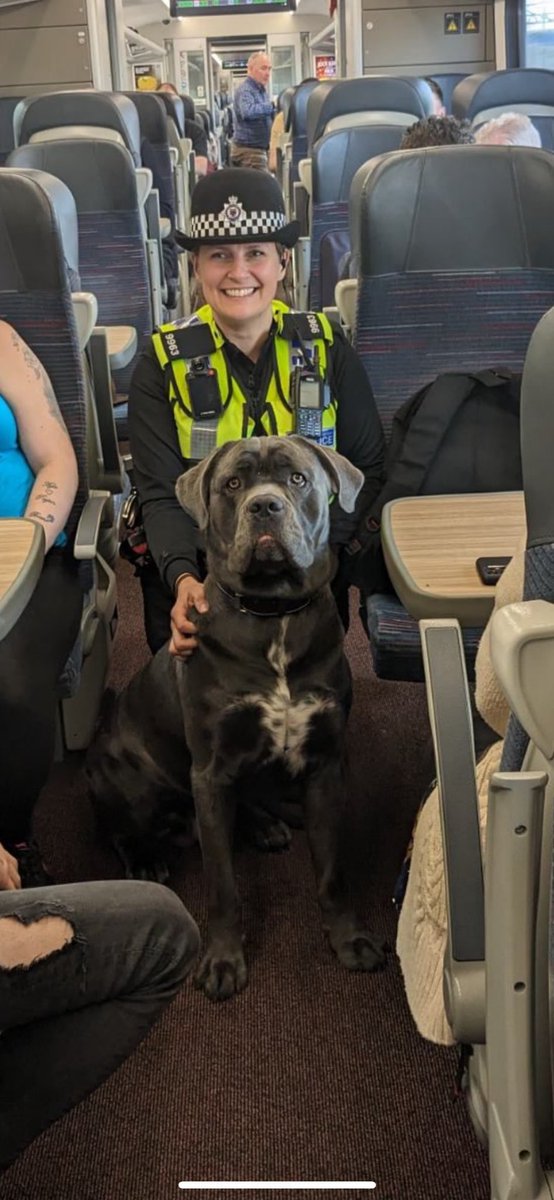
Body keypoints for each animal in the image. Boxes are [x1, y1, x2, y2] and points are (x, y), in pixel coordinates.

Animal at [88, 436, 388, 998]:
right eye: (232, 484)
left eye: (297, 479)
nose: (264, 506)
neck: (274, 616)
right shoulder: (209, 771)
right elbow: (222, 886)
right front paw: (223, 961)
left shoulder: (325, 764)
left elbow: (332, 873)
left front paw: (349, 940)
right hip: (126, 780)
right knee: (117, 828)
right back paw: (146, 859)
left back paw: (267, 823)